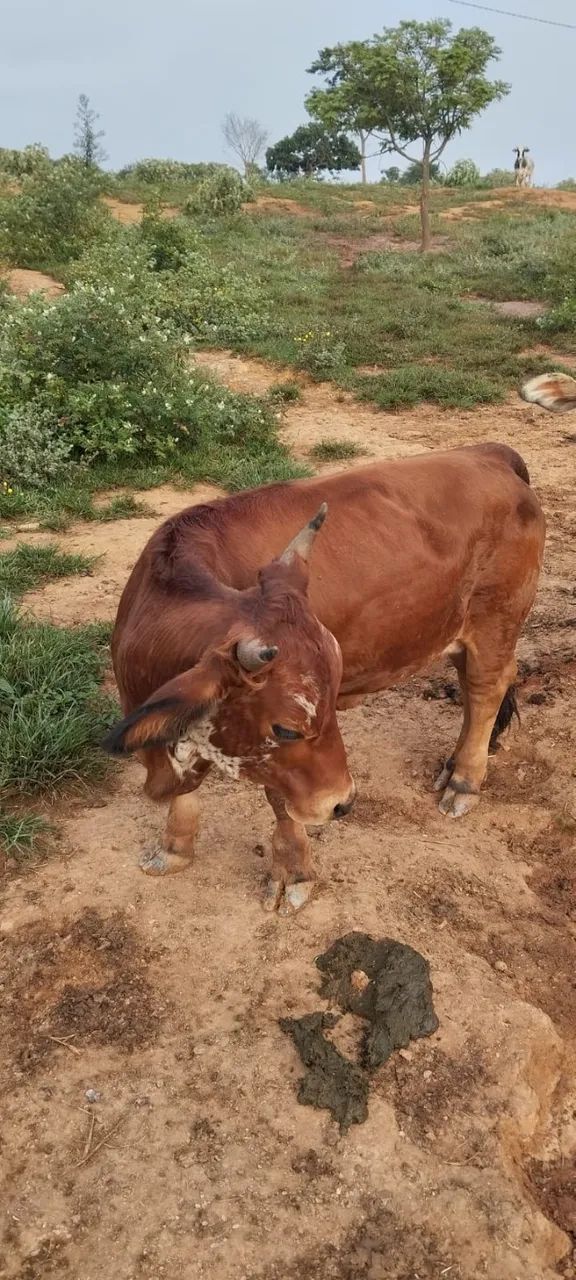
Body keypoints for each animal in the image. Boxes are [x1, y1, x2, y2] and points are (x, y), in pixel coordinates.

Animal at [104, 443, 545, 915]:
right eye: (287, 728)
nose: (344, 803)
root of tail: (487, 453)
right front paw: (174, 847)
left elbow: (280, 800)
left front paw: (292, 872)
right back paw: (452, 765)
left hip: (495, 618)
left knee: (485, 689)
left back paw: (464, 780)